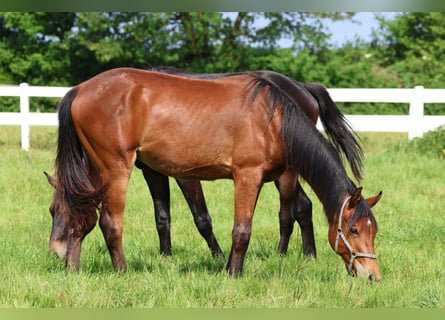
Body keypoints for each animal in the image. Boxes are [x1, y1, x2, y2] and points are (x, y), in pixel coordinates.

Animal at [46, 68, 384, 280]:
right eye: (353, 230)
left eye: (374, 231)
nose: (372, 276)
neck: (272, 118)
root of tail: (79, 90)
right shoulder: (245, 177)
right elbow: (241, 230)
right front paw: (234, 274)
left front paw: (227, 268)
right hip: (115, 169)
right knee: (109, 222)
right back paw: (121, 271)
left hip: (93, 169)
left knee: (83, 214)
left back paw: (73, 269)